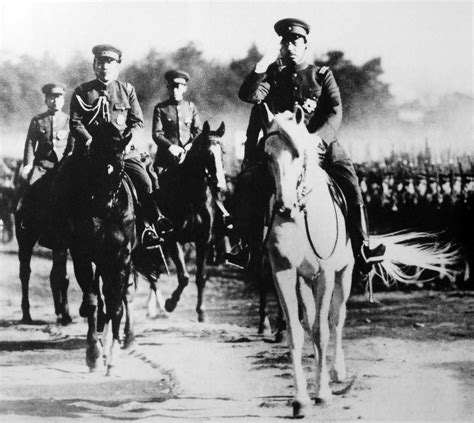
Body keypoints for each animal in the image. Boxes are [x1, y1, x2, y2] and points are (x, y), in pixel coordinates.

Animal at [157, 121, 228, 322]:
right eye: (208, 153)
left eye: (223, 152)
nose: (221, 186)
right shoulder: (173, 239)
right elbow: (184, 277)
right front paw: (170, 303)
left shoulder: (204, 240)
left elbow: (200, 277)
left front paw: (202, 312)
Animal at [262, 105, 460, 418]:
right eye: (268, 155)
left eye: (296, 153)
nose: (285, 206)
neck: (303, 215)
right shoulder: (283, 272)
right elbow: (296, 332)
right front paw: (301, 399)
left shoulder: (326, 273)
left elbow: (323, 329)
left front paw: (323, 393)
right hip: (305, 281)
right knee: (311, 320)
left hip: (342, 275)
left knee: (335, 319)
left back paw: (336, 372)